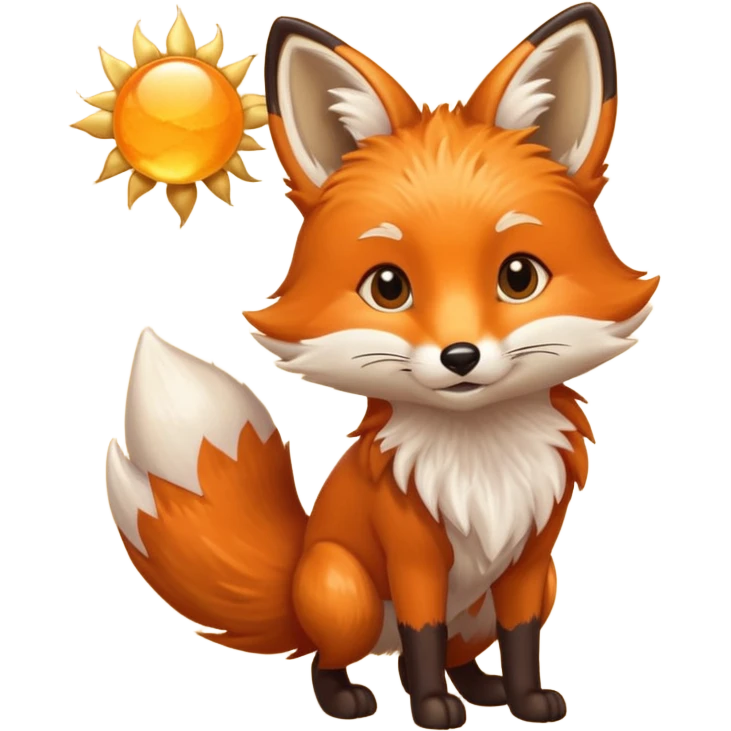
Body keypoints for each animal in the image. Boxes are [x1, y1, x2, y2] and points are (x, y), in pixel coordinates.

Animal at [105, 3, 659, 728]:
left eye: (518, 277)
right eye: (388, 287)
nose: (460, 356)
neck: (481, 460)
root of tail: (294, 575)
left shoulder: (530, 559)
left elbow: (519, 639)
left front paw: (525, 700)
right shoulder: (413, 552)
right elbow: (423, 638)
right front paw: (431, 710)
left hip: (526, 590)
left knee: (460, 649)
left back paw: (481, 690)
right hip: (347, 589)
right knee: (340, 654)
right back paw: (348, 697)